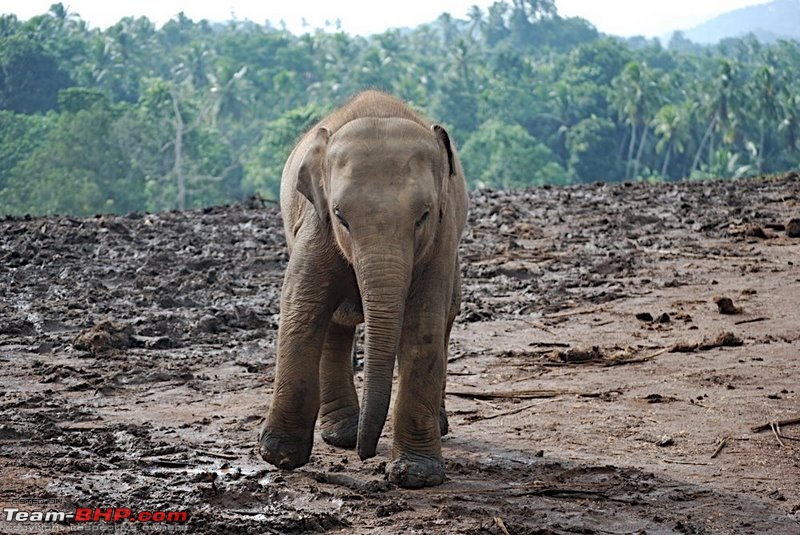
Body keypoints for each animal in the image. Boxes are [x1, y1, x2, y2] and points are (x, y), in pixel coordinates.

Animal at [256, 91, 468, 490]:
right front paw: (279, 455)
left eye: (423, 215)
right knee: (335, 324)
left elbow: (424, 325)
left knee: (446, 315)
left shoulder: (441, 239)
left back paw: (437, 425)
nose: (365, 454)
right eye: (341, 216)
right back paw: (341, 434)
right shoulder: (316, 223)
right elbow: (301, 306)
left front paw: (416, 475)